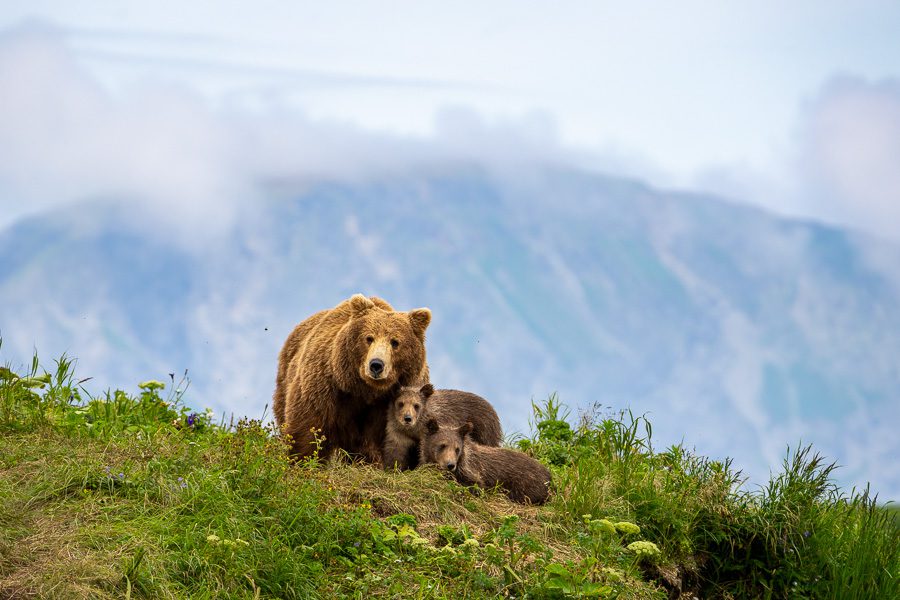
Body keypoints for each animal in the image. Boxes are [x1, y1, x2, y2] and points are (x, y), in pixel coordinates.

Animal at [273, 293, 431, 463]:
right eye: (369, 338)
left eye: (395, 342)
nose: (376, 365)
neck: (366, 390)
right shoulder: (326, 386)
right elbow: (308, 425)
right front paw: (304, 459)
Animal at [420, 419, 552, 505]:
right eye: (442, 445)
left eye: (457, 449)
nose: (450, 465)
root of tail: (549, 474)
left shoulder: (472, 471)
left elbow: (476, 485)